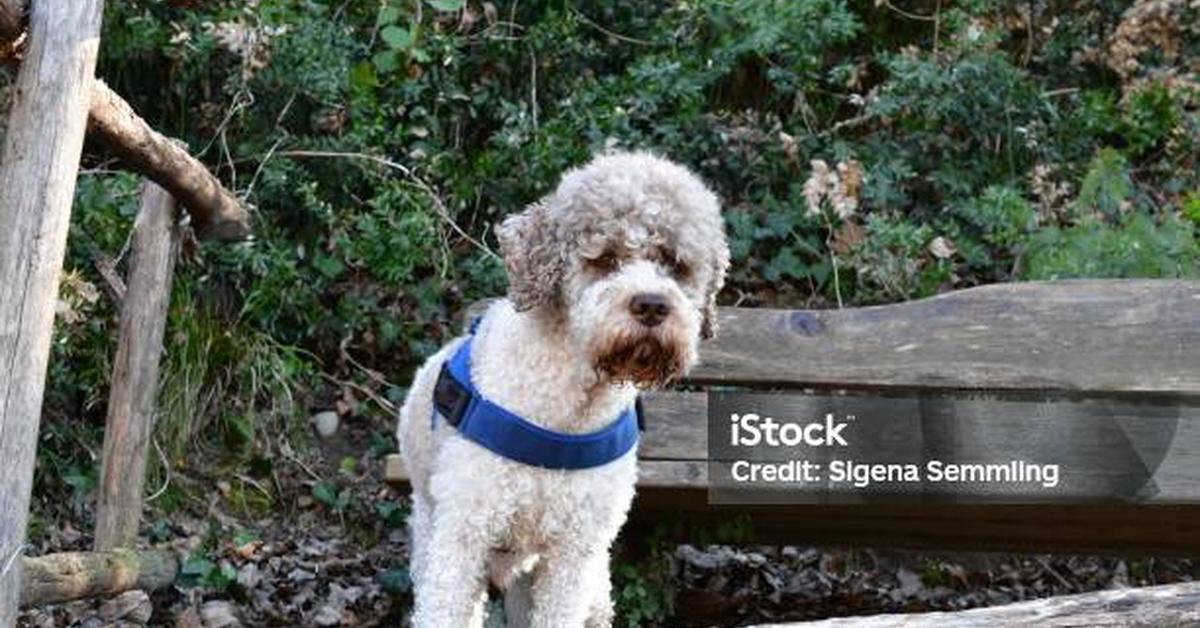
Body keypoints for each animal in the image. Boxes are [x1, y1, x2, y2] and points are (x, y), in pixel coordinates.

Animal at [398, 153, 724, 628]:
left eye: (675, 264)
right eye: (604, 258)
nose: (651, 305)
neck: (568, 410)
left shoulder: (574, 550)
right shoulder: (464, 532)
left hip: (586, 587)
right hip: (432, 538)